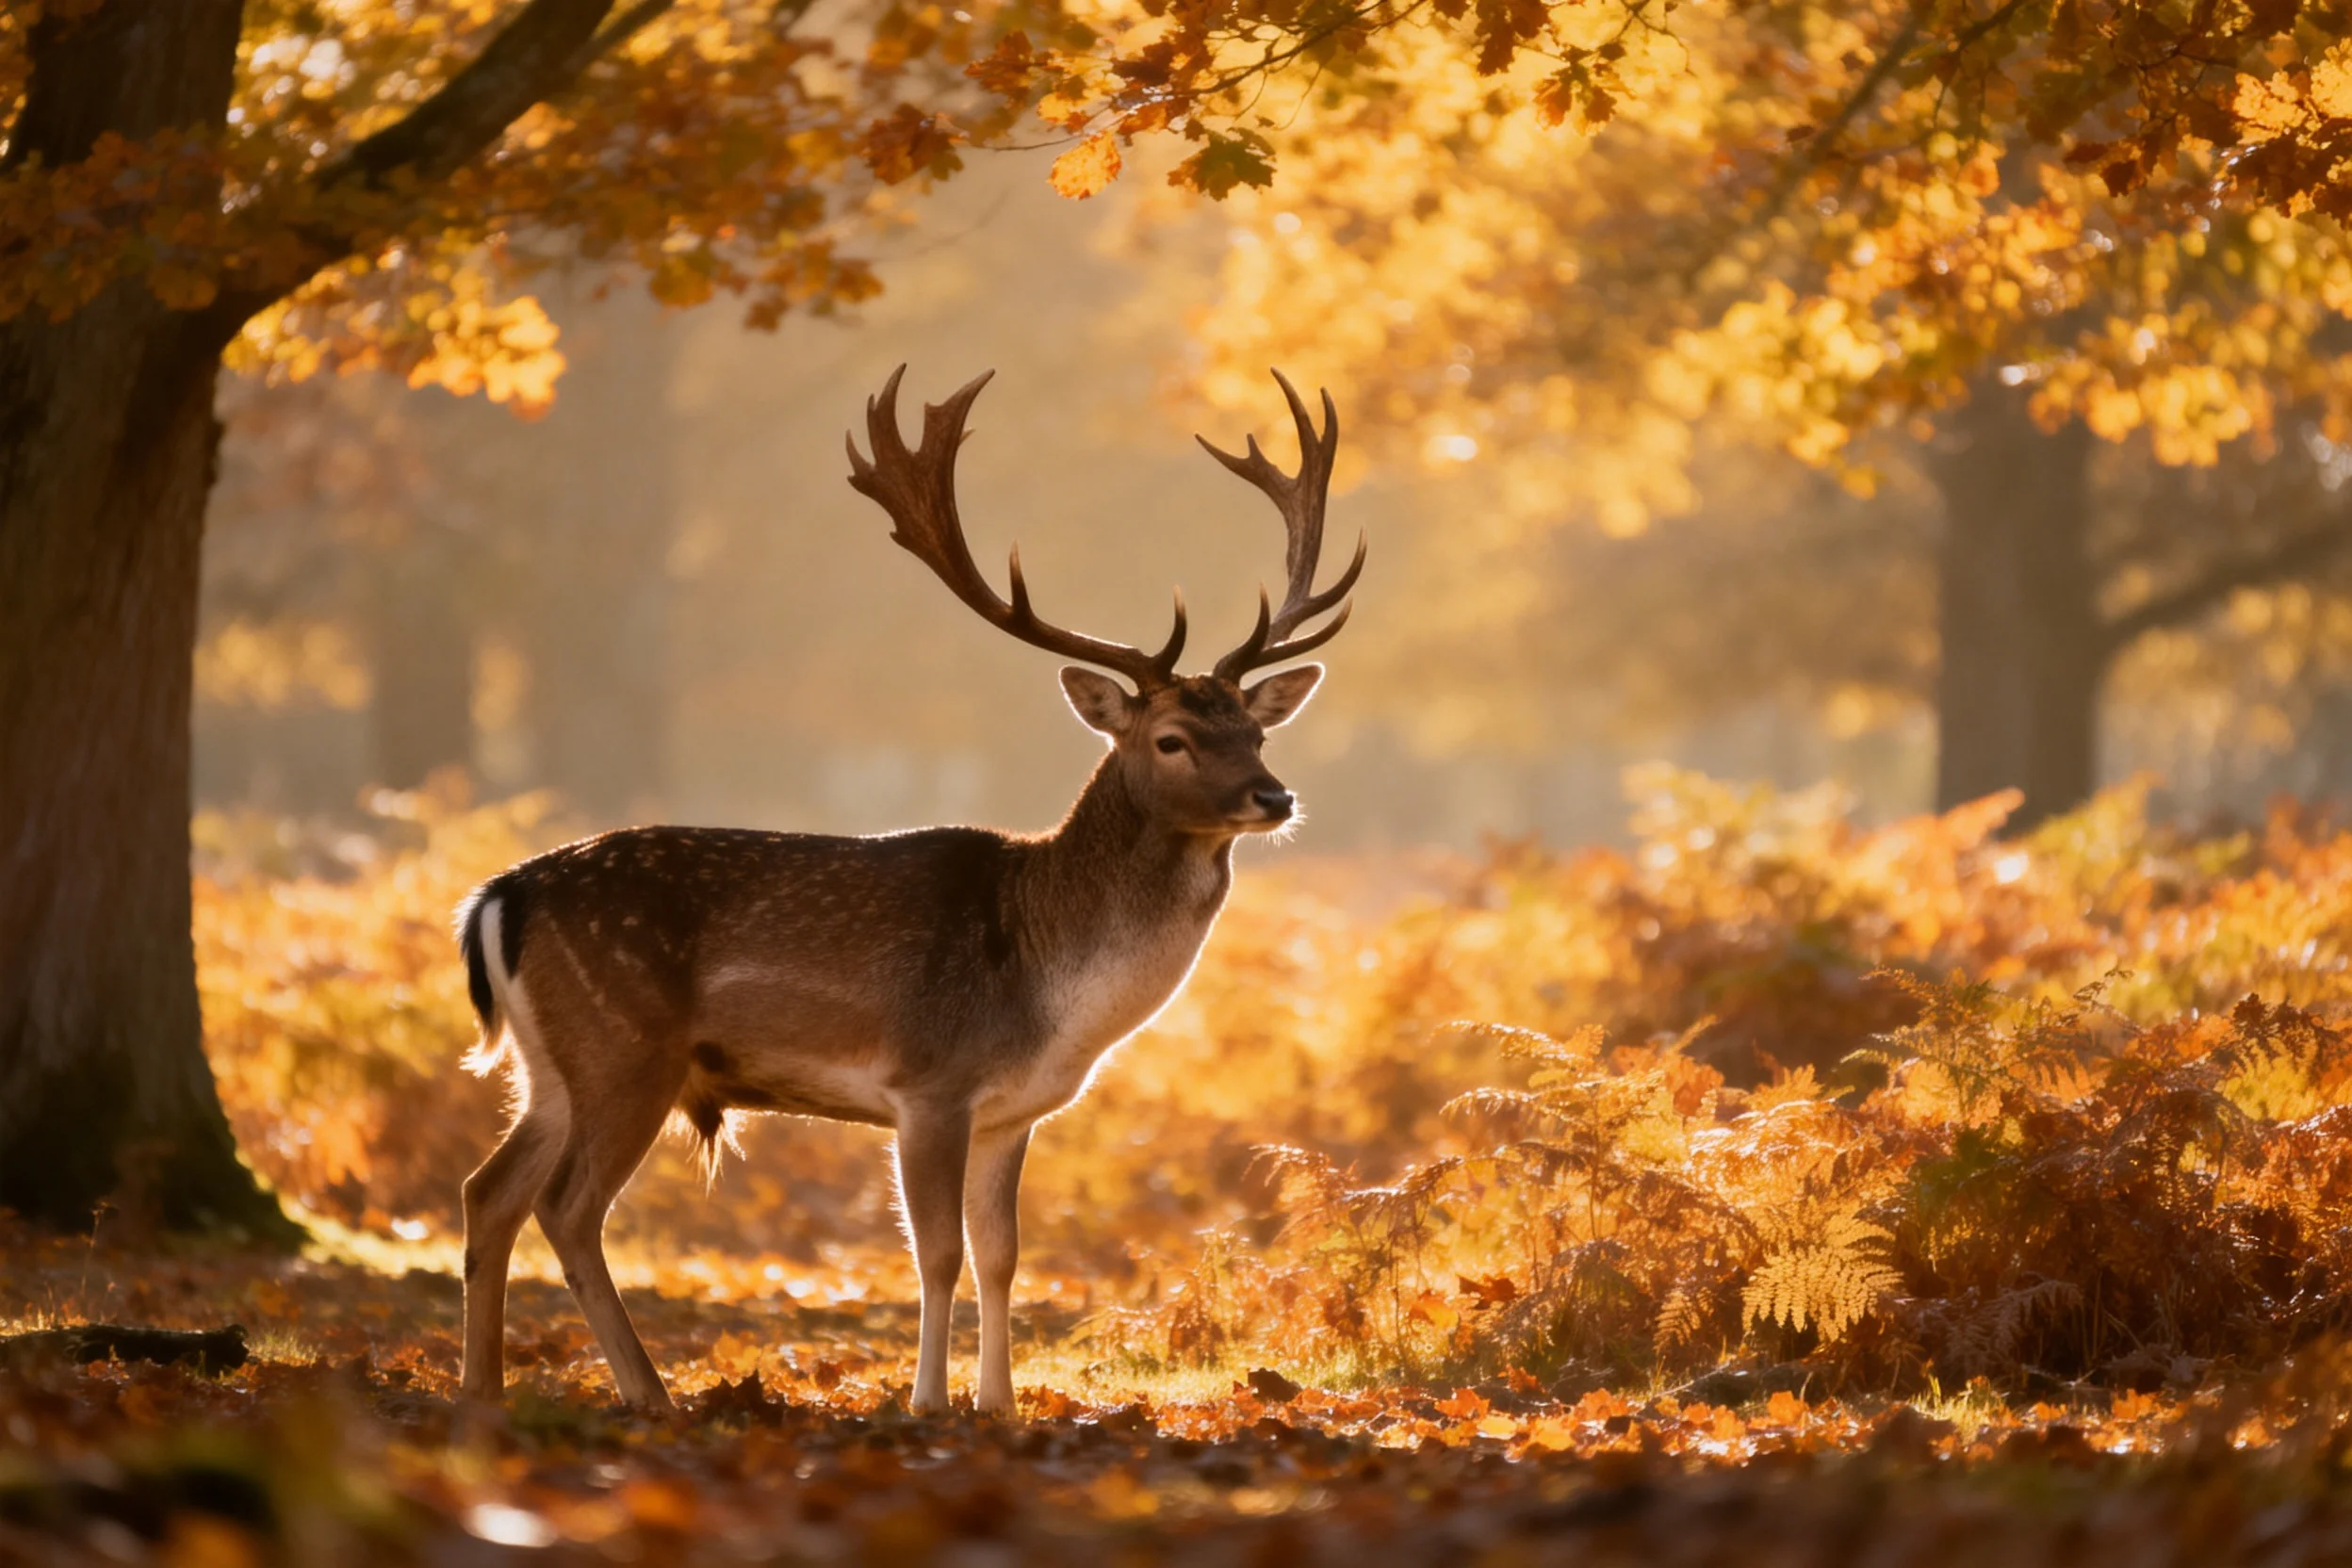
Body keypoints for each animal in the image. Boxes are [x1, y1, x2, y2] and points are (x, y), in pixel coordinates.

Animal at [451, 365, 1362, 1416]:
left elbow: (1004, 1254)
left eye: (1256, 730)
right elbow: (937, 1253)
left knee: (488, 1190)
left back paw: (483, 1388)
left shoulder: (1012, 1111)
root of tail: (497, 898)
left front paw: (997, 1403)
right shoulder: (930, 1082)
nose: (1274, 796)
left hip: (552, 1063)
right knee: (566, 1206)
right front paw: (930, 1401)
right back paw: (647, 1393)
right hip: (625, 1046)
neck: (1054, 988)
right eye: (1172, 737)